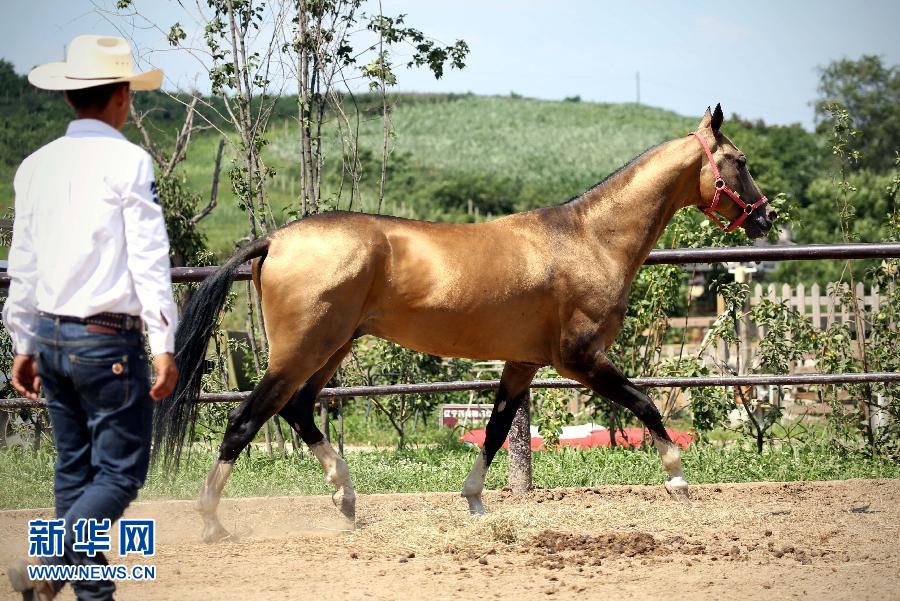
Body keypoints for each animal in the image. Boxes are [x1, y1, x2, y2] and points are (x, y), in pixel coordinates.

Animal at [153, 102, 772, 540]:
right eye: (739, 161)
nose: (765, 217)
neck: (589, 239)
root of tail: (276, 239)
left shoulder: (523, 363)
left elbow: (497, 430)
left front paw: (473, 498)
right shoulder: (580, 359)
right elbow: (645, 404)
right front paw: (678, 478)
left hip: (332, 347)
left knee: (299, 410)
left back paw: (345, 498)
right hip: (302, 349)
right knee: (248, 420)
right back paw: (212, 521)